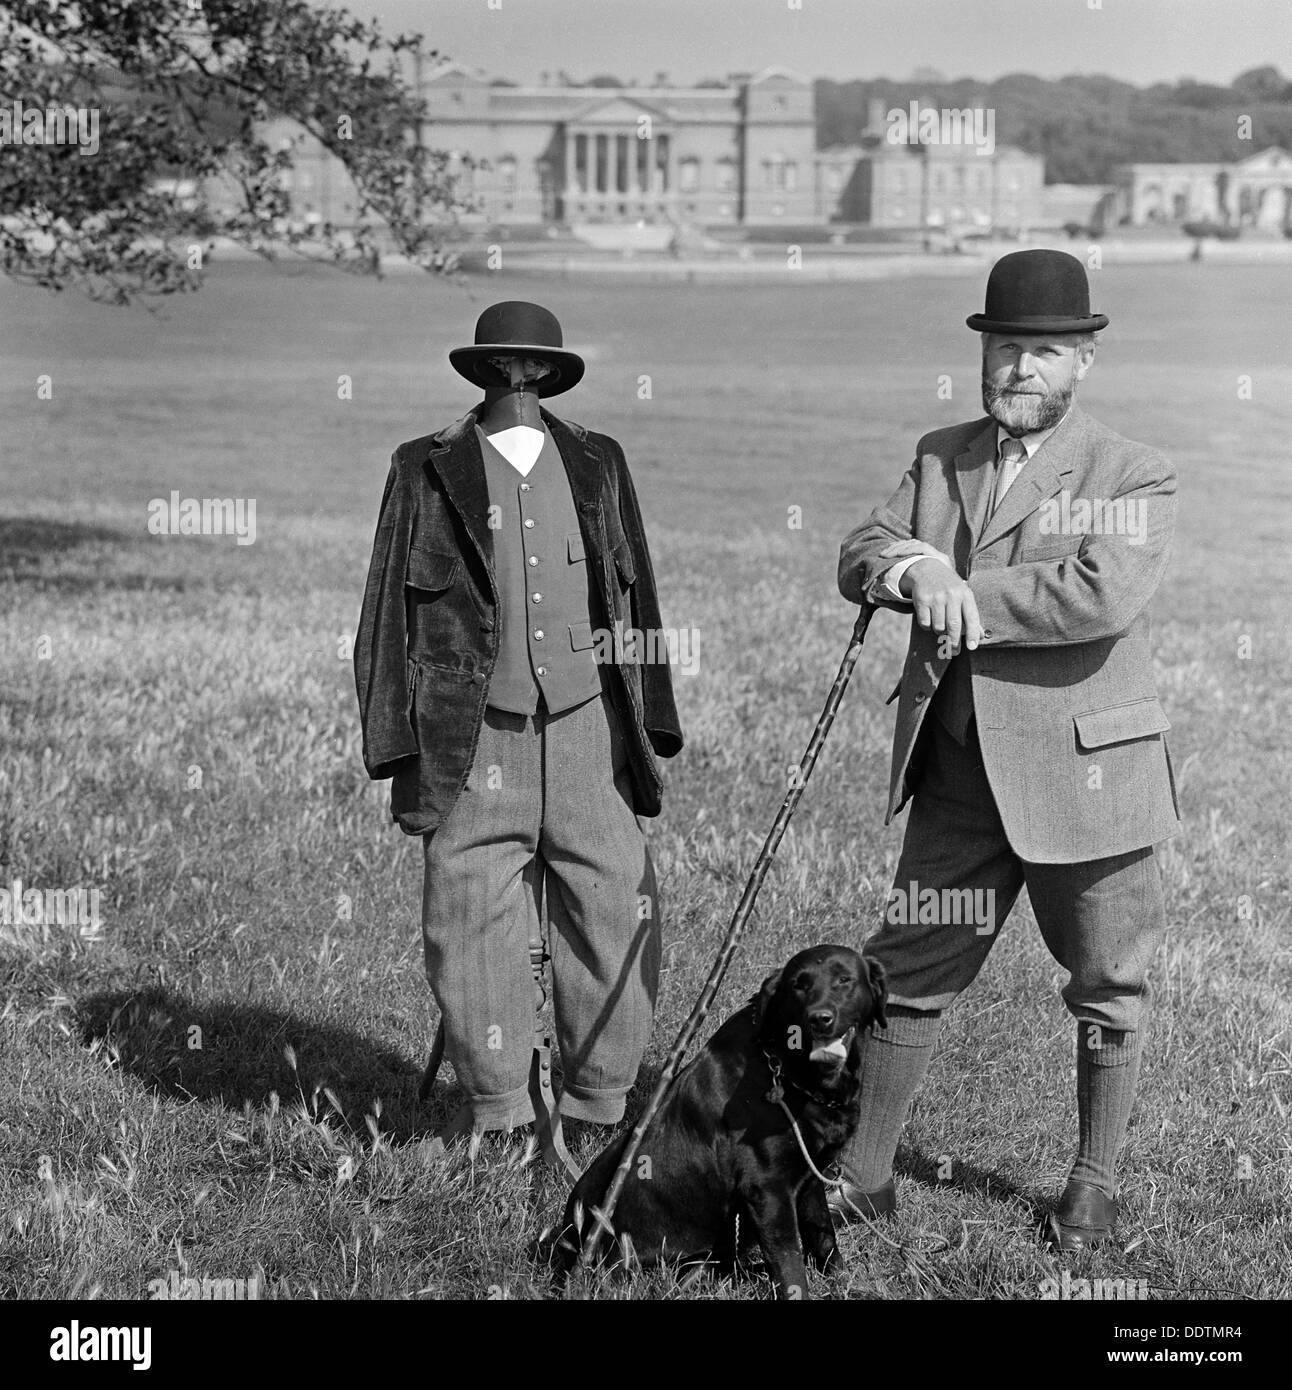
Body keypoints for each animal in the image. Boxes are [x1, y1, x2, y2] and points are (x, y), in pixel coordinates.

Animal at [550, 939, 884, 1295]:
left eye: (844, 980)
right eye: (799, 985)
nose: (819, 1018)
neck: (781, 1066)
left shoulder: (809, 1180)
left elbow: (824, 1239)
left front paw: (842, 1282)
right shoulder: (767, 1190)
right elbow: (791, 1268)